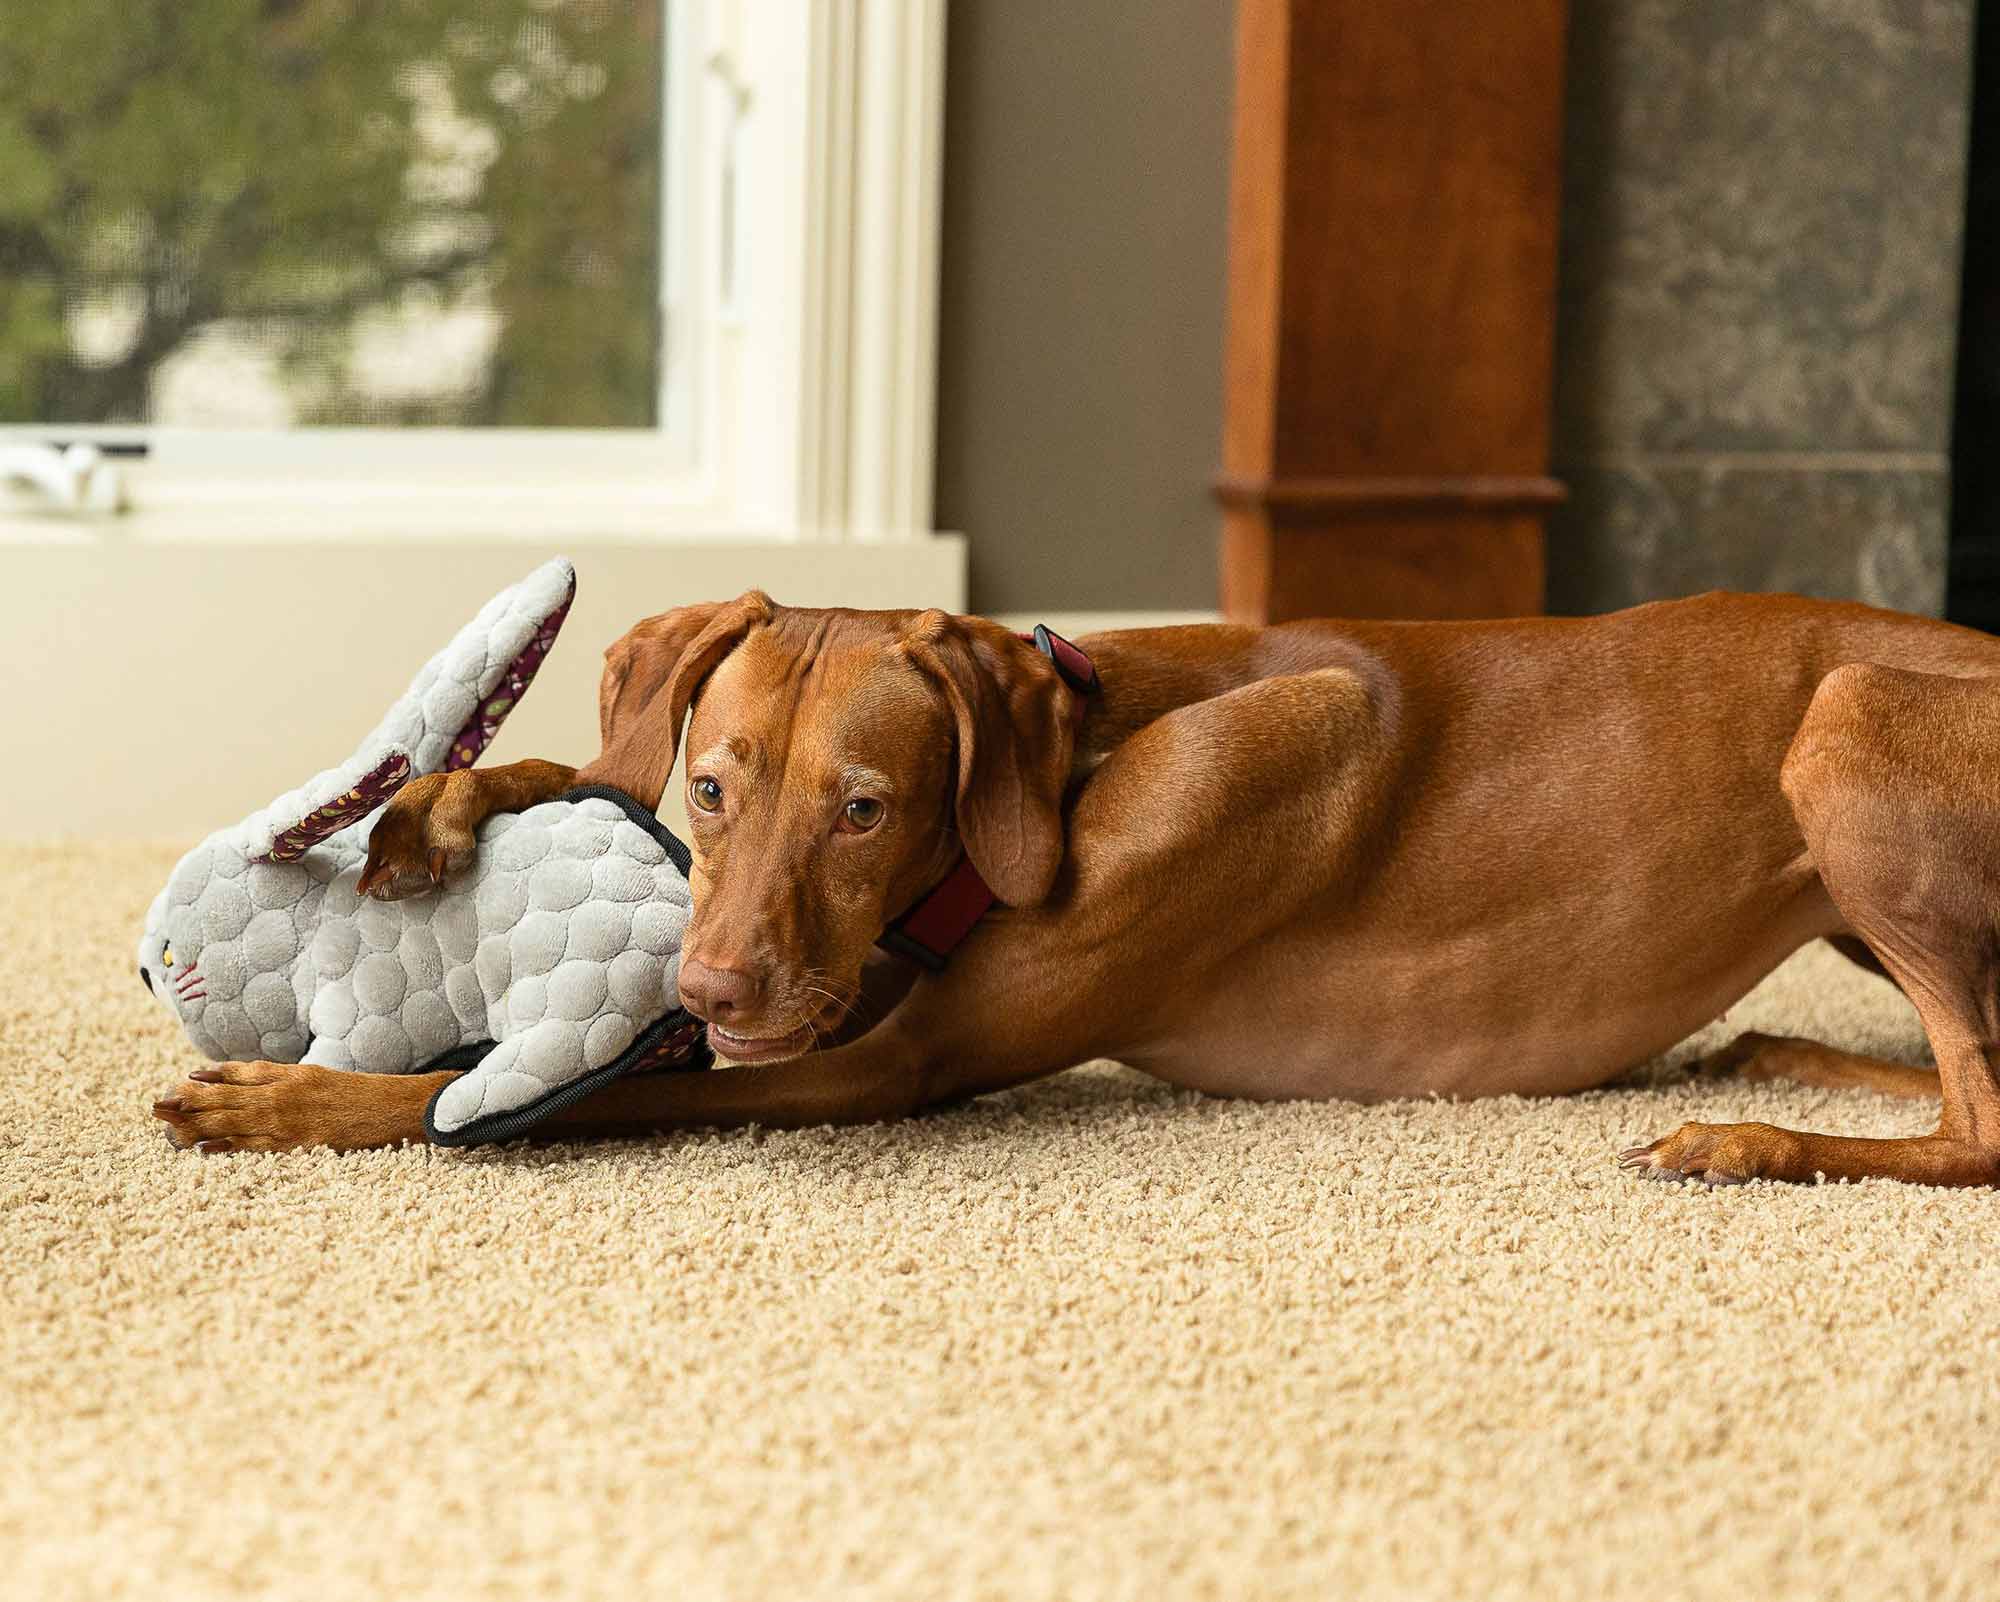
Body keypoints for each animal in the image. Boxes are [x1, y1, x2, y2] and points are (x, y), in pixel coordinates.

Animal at [152, 592, 2000, 1184]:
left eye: (869, 809)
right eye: (715, 788)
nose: (707, 991)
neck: (1072, 759)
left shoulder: (877, 1059)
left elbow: (556, 1093)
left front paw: (283, 1103)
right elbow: (579, 770)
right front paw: (435, 810)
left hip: (1844, 718)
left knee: (1981, 1124)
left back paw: (1750, 1135)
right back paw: (1780, 1056)